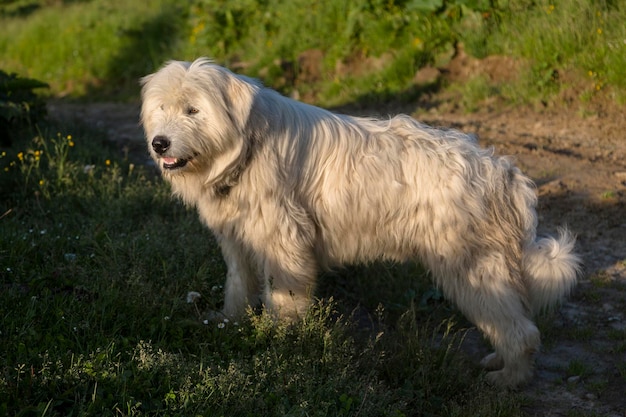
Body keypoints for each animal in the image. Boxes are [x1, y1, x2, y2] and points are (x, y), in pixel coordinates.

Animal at [139, 57, 576, 386]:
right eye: (162, 108)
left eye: (193, 110)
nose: (159, 143)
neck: (248, 145)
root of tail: (503, 172)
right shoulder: (238, 242)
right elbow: (237, 288)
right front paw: (229, 324)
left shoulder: (286, 247)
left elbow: (284, 302)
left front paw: (276, 343)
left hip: (473, 268)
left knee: (521, 331)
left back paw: (509, 379)